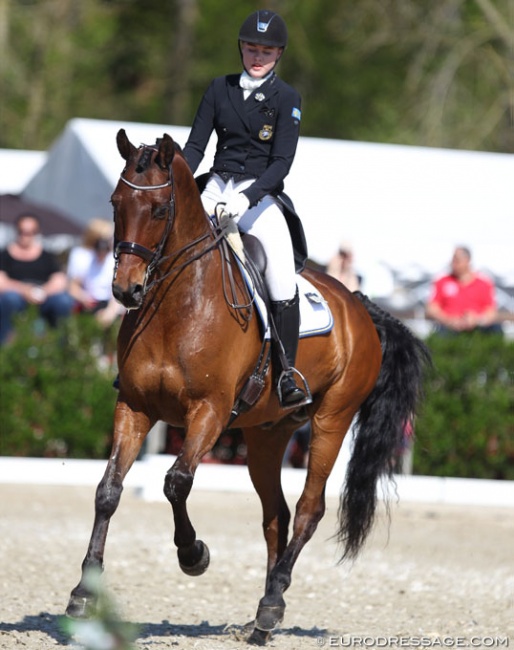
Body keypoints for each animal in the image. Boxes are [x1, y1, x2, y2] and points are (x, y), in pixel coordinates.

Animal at [67, 130, 428, 644]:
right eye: (115, 204)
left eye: (159, 210)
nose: (125, 291)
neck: (177, 304)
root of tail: (359, 306)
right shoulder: (134, 406)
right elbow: (108, 490)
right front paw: (83, 592)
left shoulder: (210, 412)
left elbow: (176, 482)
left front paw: (193, 555)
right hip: (266, 434)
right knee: (276, 515)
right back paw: (261, 615)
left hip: (332, 420)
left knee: (309, 509)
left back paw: (272, 606)